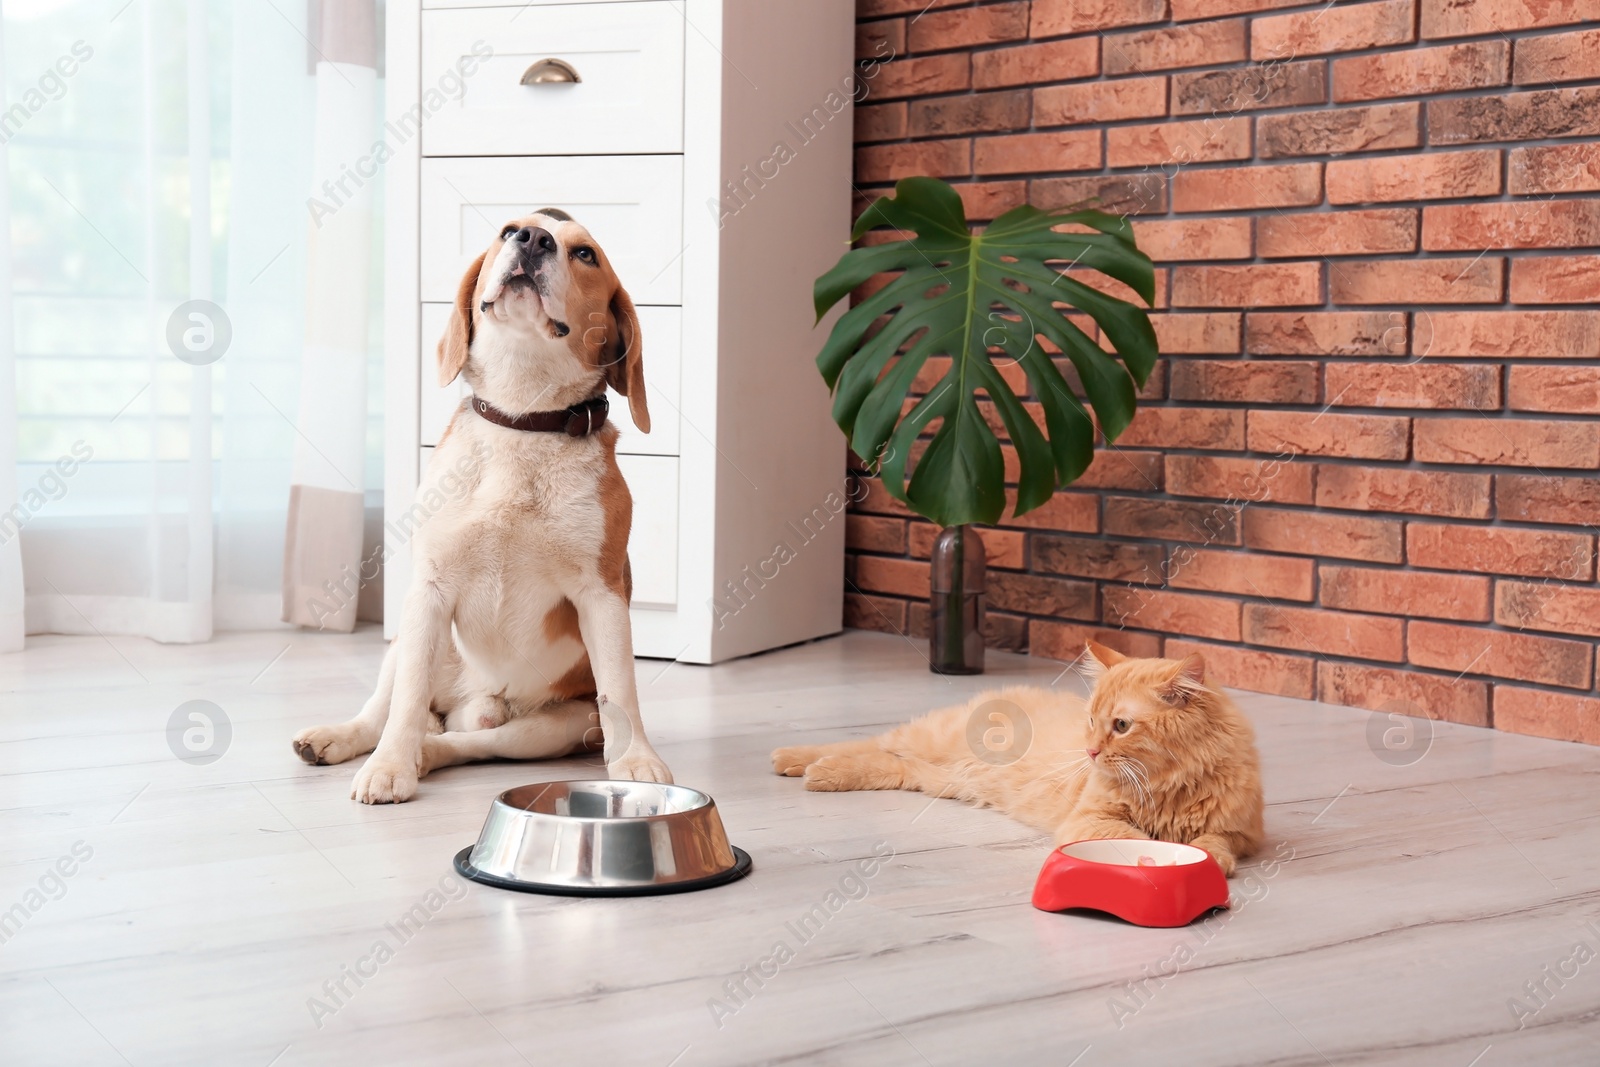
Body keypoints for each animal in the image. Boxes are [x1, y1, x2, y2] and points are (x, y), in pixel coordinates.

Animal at [292, 212, 668, 806]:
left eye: (585, 254)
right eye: (509, 230)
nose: (533, 239)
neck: (524, 418)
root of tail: (470, 704)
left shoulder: (602, 596)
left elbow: (621, 692)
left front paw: (635, 761)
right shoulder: (429, 588)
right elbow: (403, 706)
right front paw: (388, 767)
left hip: (553, 727)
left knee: (470, 744)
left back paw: (429, 752)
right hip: (409, 638)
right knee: (385, 710)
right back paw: (343, 738)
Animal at [768, 643, 1267, 876]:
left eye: (1121, 726)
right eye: (1091, 721)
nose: (1090, 751)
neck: (1168, 785)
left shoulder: (1241, 833)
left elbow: (1213, 841)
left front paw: (1205, 857)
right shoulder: (1091, 819)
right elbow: (1132, 837)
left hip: (937, 778)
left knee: (889, 762)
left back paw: (820, 773)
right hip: (931, 738)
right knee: (867, 742)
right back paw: (795, 759)